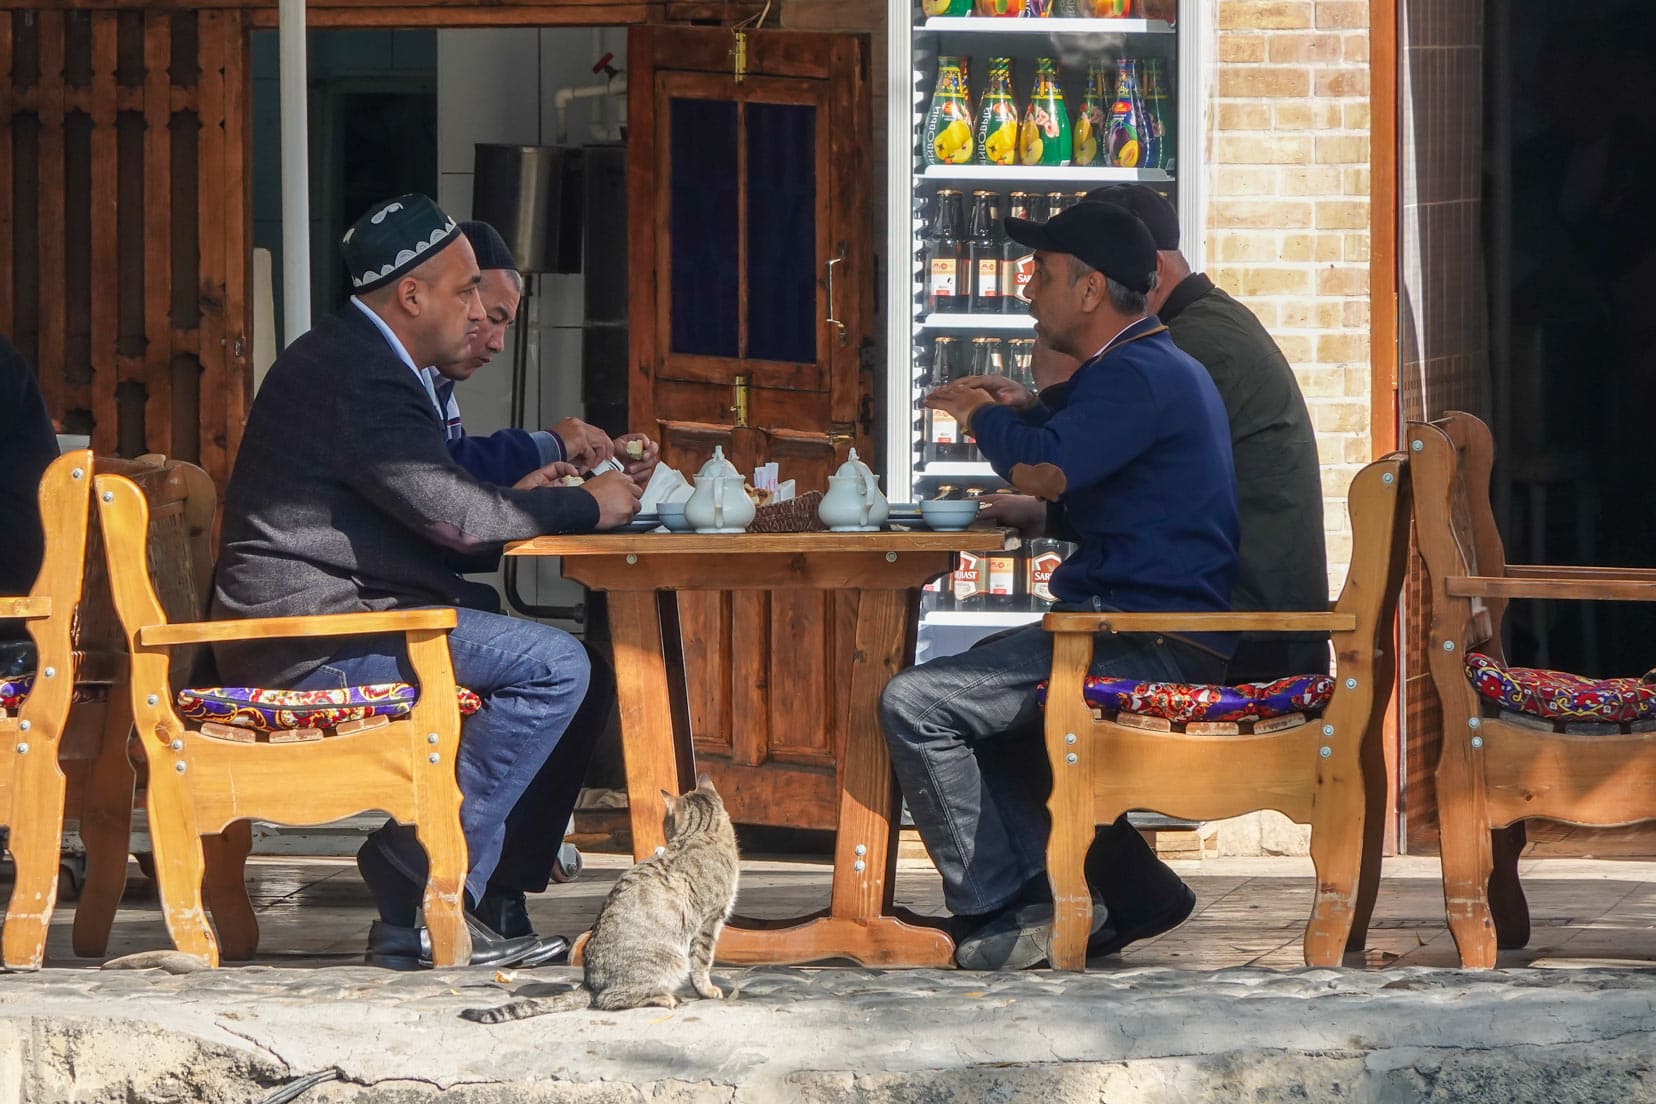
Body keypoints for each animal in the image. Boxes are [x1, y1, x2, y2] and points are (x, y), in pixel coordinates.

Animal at [457, 774, 735, 1026]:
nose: (664, 832)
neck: (700, 832)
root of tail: (589, 982)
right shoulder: (710, 921)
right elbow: (702, 962)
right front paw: (707, 990)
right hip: (671, 961)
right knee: (609, 999)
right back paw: (663, 997)